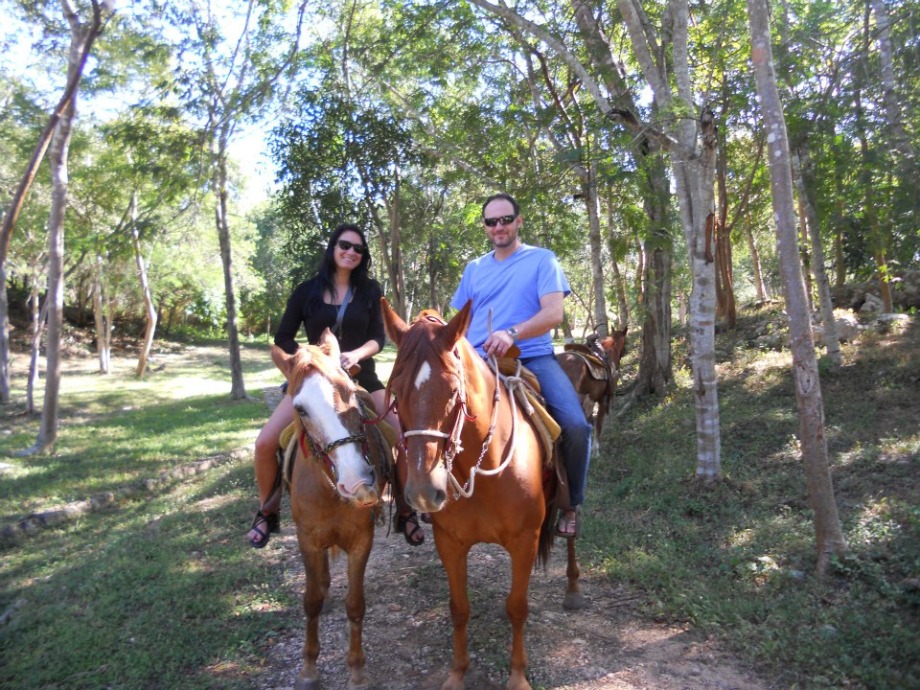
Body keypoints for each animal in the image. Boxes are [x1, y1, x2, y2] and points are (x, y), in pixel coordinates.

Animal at [270, 330, 392, 688]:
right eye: (300, 409)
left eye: (350, 392)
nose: (358, 482)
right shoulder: (308, 539)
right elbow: (311, 601)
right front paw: (309, 669)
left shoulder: (361, 540)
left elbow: (355, 604)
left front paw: (357, 669)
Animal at [380, 298, 584, 688]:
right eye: (395, 391)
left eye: (452, 390)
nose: (425, 491)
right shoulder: (450, 541)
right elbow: (459, 608)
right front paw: (457, 672)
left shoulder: (524, 541)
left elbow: (517, 607)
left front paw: (518, 676)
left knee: (570, 536)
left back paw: (573, 588)